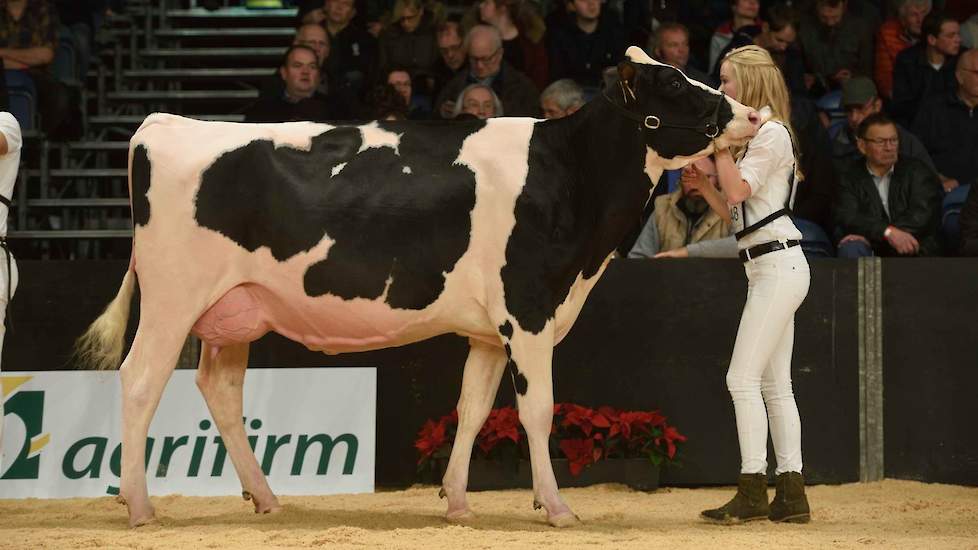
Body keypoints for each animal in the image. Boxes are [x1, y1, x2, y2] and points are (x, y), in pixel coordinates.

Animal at [78, 48, 764, 532]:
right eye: (673, 85)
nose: (752, 115)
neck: (570, 174)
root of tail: (165, 123)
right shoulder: (529, 310)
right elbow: (537, 410)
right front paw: (556, 507)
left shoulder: (490, 329)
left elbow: (473, 409)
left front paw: (456, 502)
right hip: (172, 299)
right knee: (141, 380)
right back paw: (138, 507)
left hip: (235, 309)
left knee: (220, 390)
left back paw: (266, 499)